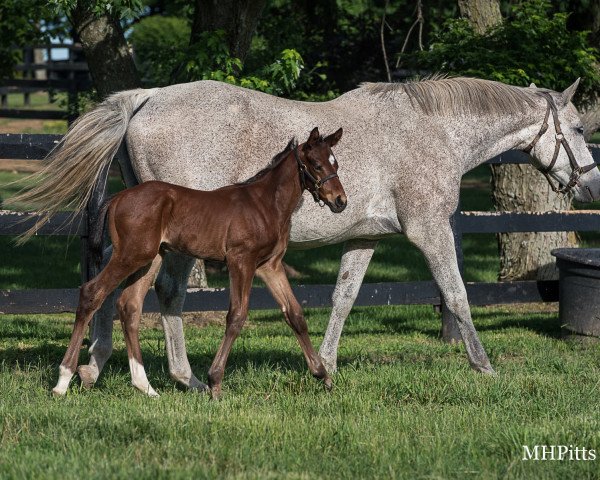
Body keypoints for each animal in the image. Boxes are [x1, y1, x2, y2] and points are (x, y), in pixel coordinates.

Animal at [56, 127, 350, 398]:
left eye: (336, 163)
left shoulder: (270, 266)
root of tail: (118, 197)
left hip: (150, 258)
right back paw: (63, 380)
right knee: (92, 292)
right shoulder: (241, 261)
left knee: (129, 305)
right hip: (131, 255)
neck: (264, 204)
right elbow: (236, 315)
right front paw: (215, 382)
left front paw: (322, 375)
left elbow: (295, 314)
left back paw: (145, 386)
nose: (340, 201)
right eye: (317, 164)